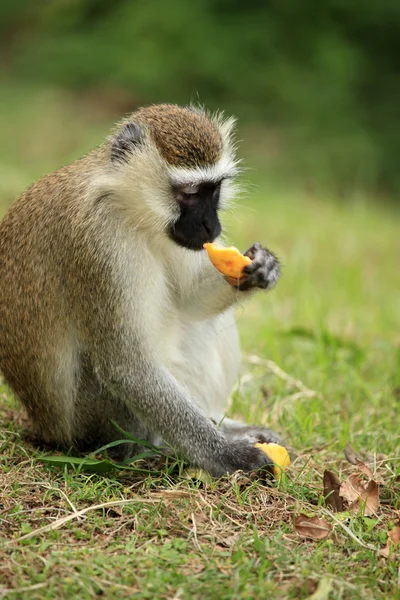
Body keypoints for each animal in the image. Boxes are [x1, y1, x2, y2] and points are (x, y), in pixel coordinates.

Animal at [0, 104, 282, 478]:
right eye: (189, 194)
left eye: (214, 191)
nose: (211, 226)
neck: (132, 211)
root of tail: (47, 430)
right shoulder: (100, 244)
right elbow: (128, 368)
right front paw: (230, 455)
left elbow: (188, 301)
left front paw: (260, 266)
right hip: (90, 424)